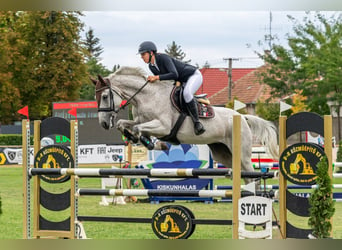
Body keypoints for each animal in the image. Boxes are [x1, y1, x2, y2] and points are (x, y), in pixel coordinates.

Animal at [92, 66, 280, 184]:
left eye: (105, 97)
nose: (103, 123)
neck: (146, 96)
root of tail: (242, 117)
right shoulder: (141, 120)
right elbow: (123, 124)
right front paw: (137, 138)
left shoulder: (163, 127)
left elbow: (139, 129)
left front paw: (149, 142)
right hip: (223, 154)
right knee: (243, 175)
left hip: (242, 153)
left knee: (252, 175)